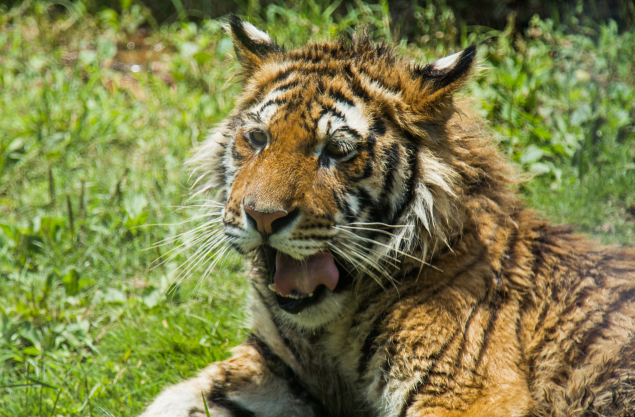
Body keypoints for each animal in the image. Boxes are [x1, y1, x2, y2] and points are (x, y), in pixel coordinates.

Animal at [139, 14, 635, 416]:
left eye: (336, 150)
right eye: (258, 138)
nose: (261, 218)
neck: (331, 328)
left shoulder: (465, 393)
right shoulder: (280, 366)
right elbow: (177, 399)